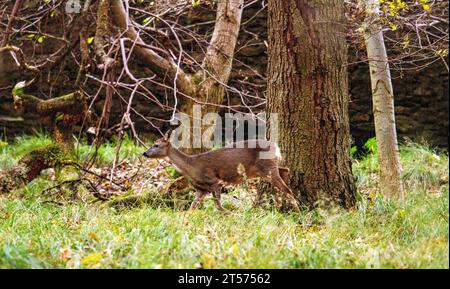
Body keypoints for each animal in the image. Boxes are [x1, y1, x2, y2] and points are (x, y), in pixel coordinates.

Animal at [142, 130, 300, 212]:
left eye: (156, 145)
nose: (144, 153)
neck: (191, 166)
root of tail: (276, 146)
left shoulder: (214, 181)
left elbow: (218, 207)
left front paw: (233, 215)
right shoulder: (201, 189)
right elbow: (192, 208)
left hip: (268, 167)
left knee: (286, 189)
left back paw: (297, 211)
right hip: (267, 168)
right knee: (285, 170)